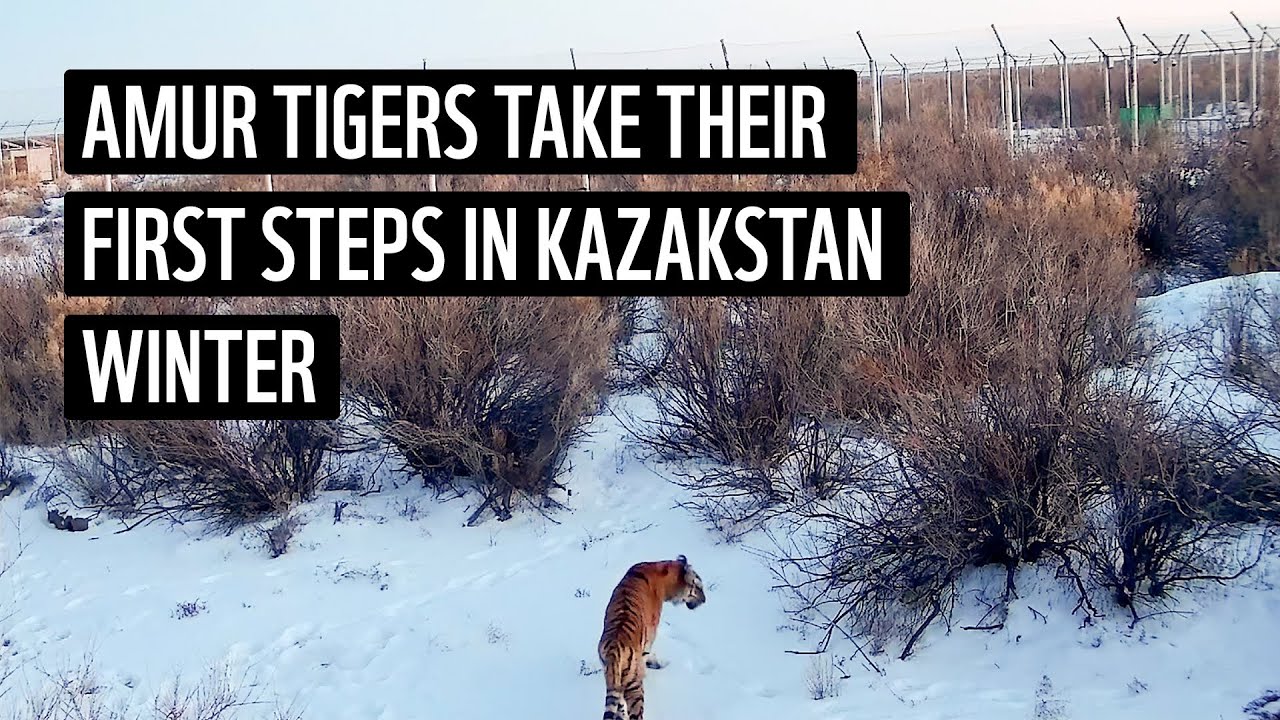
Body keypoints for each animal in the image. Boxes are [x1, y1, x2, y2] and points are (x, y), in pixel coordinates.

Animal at [598, 554, 706, 720]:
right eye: (699, 587)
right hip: (634, 687)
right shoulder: (650, 635)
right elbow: (647, 654)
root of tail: (613, 650)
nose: (705, 600)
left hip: (614, 679)